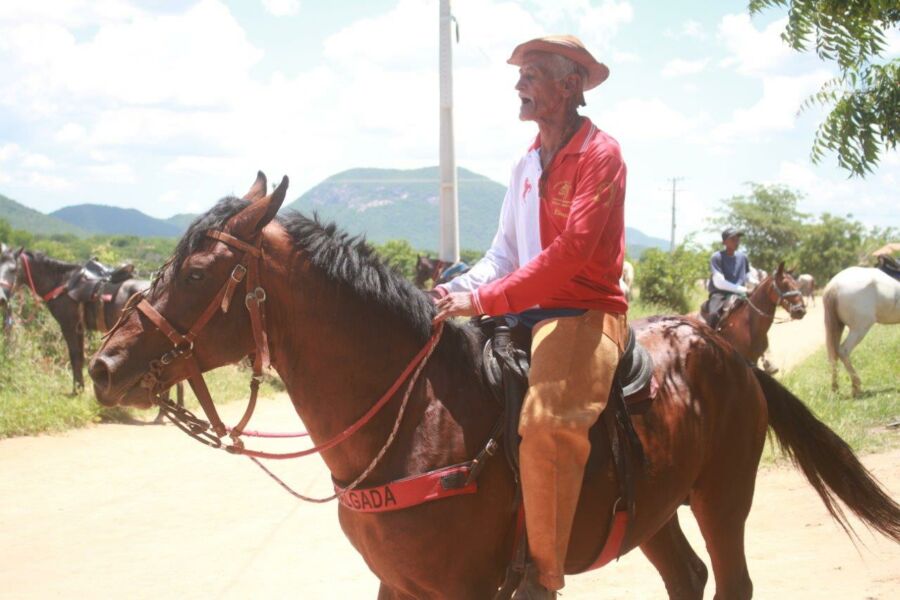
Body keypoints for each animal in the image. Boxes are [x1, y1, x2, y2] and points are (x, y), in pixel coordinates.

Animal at [824, 266, 900, 396]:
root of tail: (834, 285)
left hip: (838, 326)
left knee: (834, 354)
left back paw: (835, 388)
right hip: (859, 328)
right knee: (843, 350)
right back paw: (856, 386)